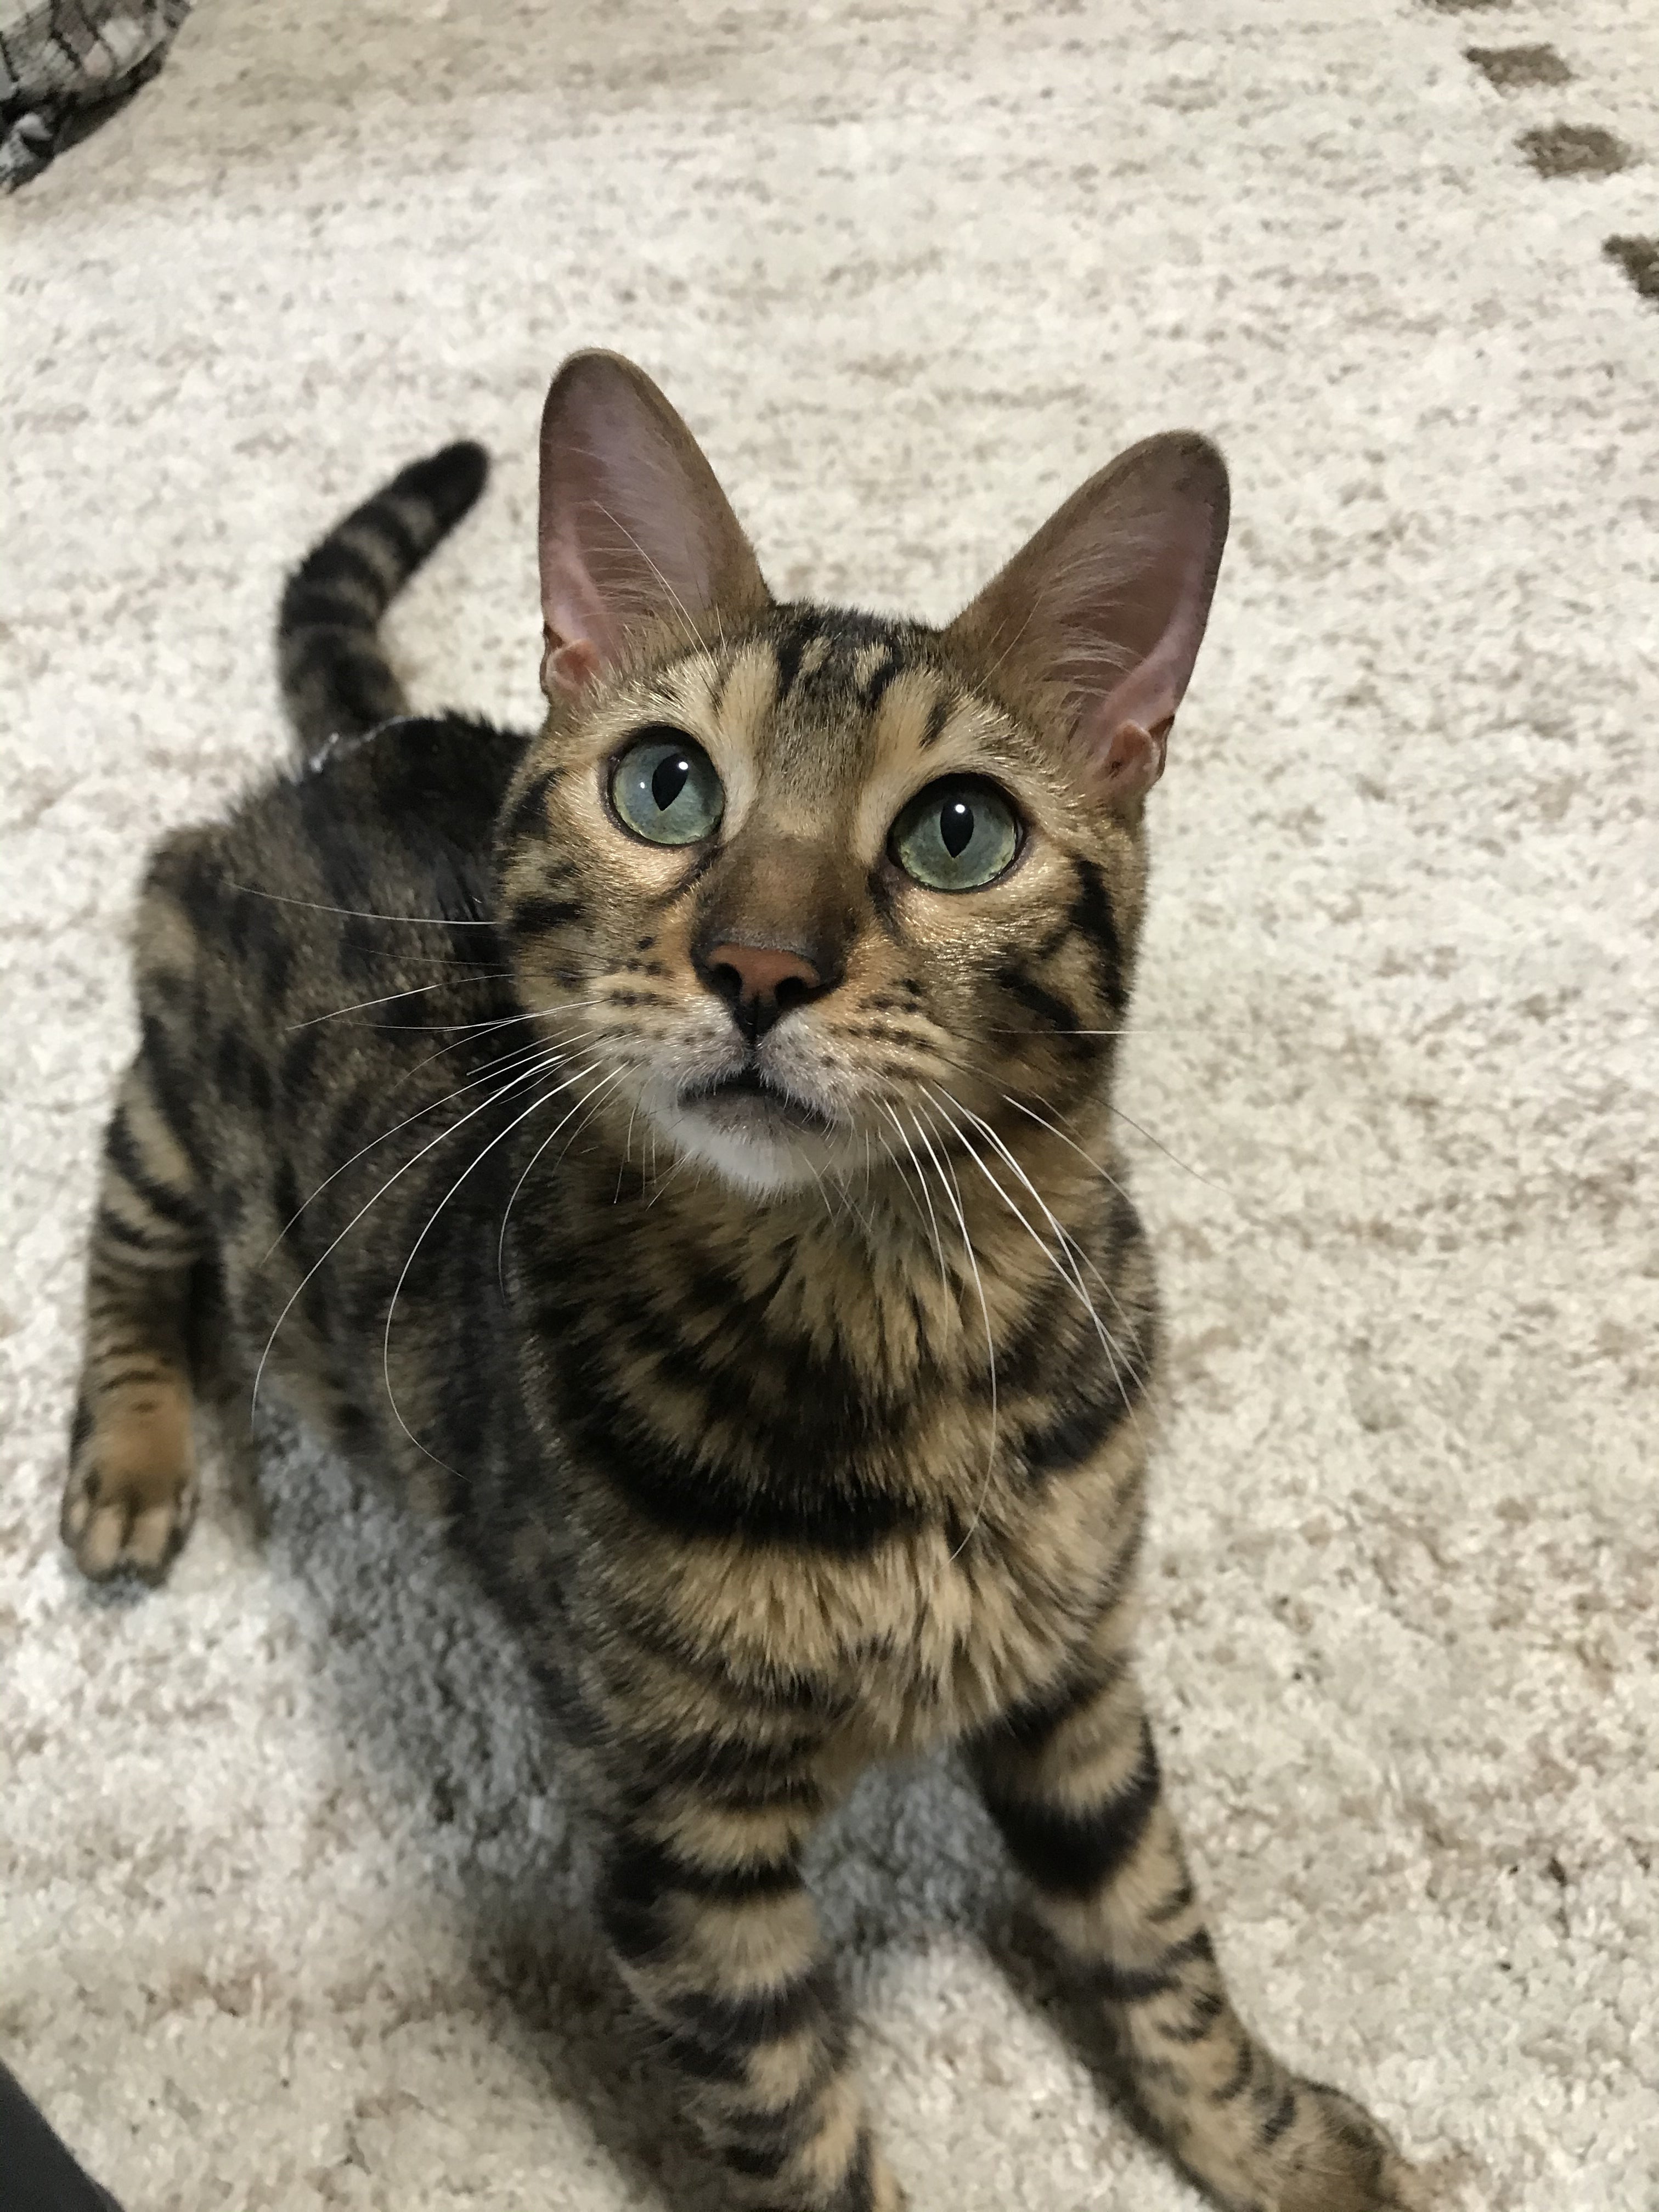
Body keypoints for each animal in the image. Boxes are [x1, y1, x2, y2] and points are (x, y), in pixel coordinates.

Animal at [62, 352, 1423, 2212]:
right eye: (667, 789)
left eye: (960, 833)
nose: (761, 963)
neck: (888, 1310)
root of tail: (360, 746)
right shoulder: (682, 1845)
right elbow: (804, 2133)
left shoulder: (1077, 1682)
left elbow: (1162, 1945)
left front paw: (1279, 2141)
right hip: (182, 1072)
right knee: (123, 1231)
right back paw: (129, 1460)